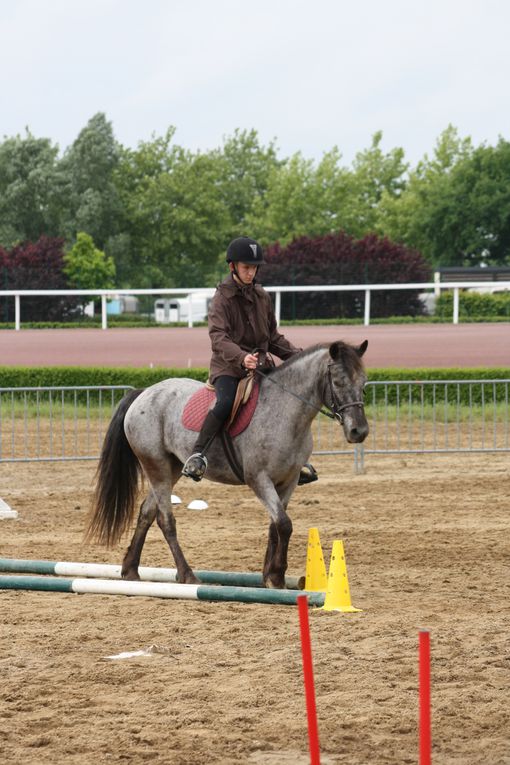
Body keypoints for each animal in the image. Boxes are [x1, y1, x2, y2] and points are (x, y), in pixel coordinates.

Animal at [85, 338, 368, 584]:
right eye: (338, 381)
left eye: (364, 382)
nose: (359, 431)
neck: (285, 414)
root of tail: (144, 393)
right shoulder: (259, 479)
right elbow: (284, 524)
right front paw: (277, 575)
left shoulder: (288, 481)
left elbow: (276, 525)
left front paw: (269, 575)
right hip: (156, 466)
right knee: (165, 520)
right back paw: (187, 575)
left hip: (171, 468)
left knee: (146, 512)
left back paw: (131, 570)